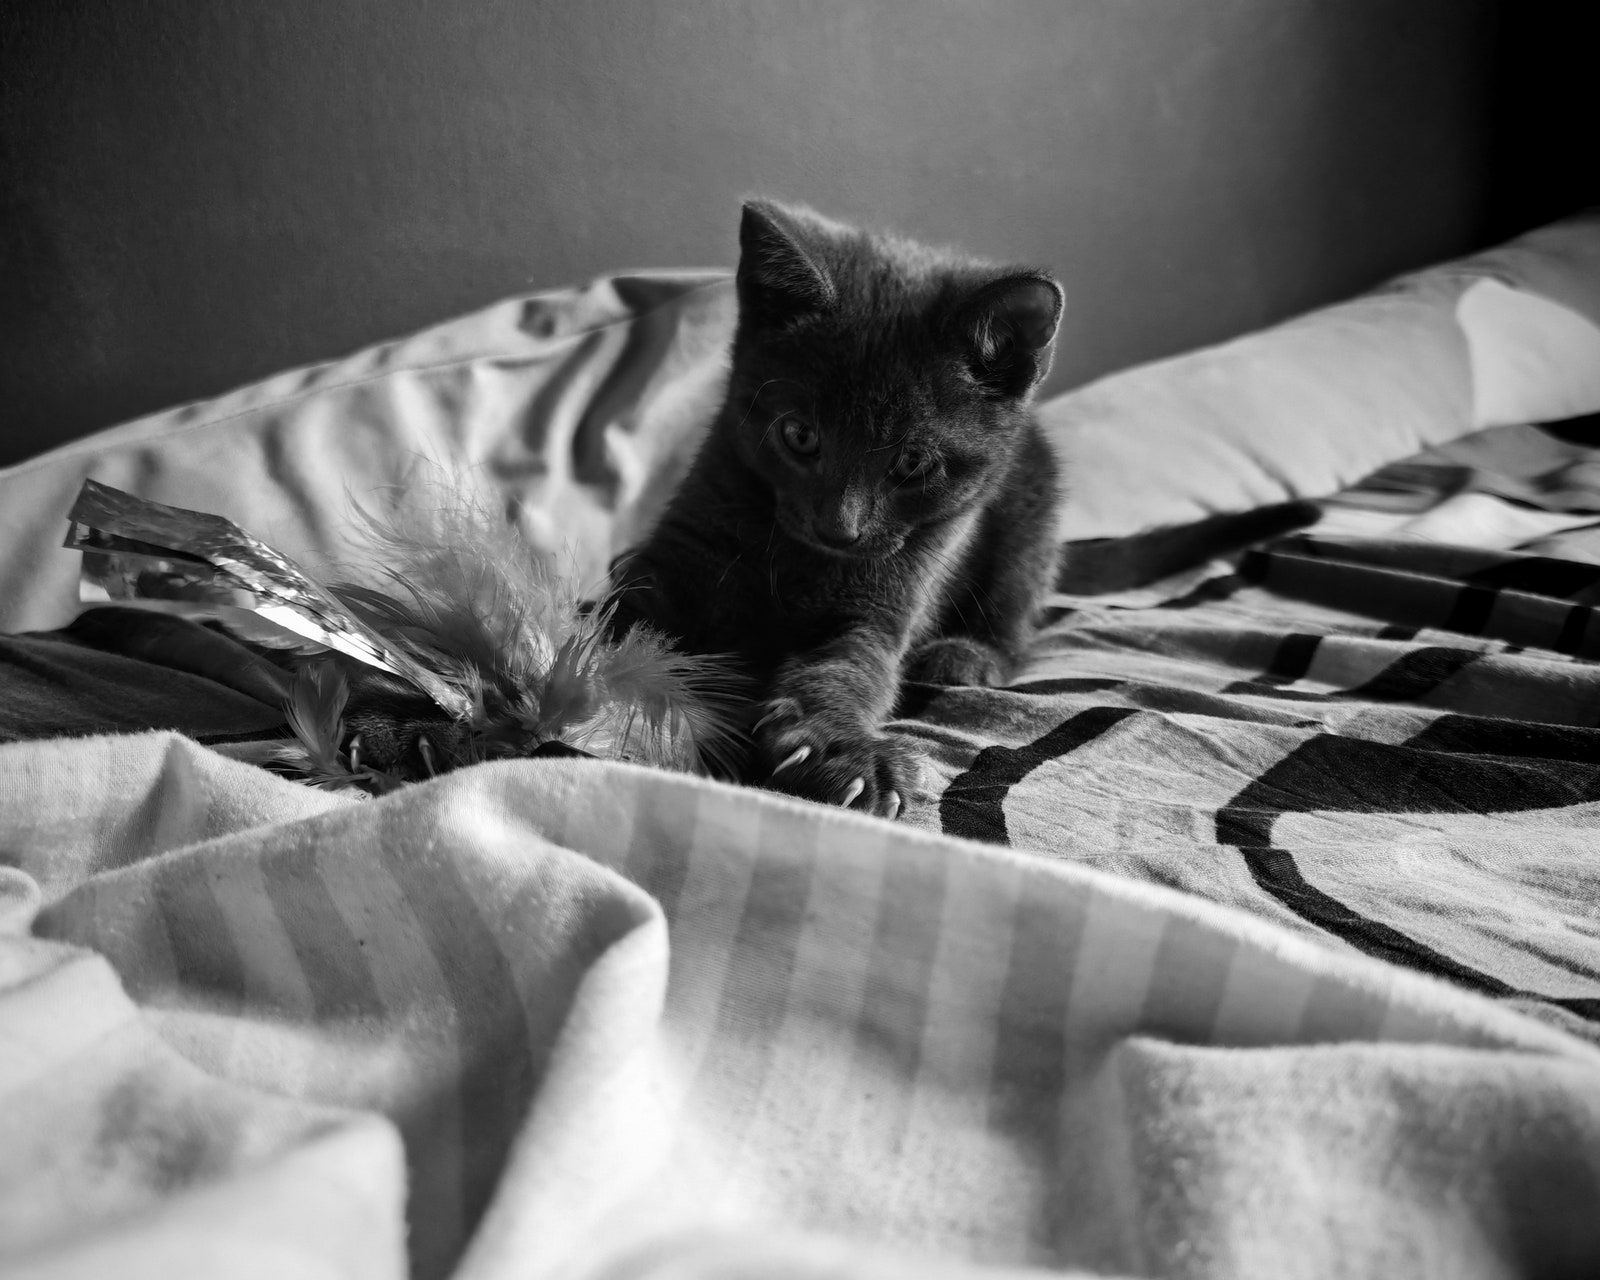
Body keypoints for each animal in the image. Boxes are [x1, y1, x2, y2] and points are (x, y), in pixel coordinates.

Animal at [601, 200, 1062, 819]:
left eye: (913, 462)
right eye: (799, 435)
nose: (838, 527)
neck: (799, 561)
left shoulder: (882, 608)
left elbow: (848, 671)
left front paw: (842, 752)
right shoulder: (683, 543)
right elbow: (625, 617)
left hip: (1031, 517)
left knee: (1015, 613)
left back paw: (965, 656)